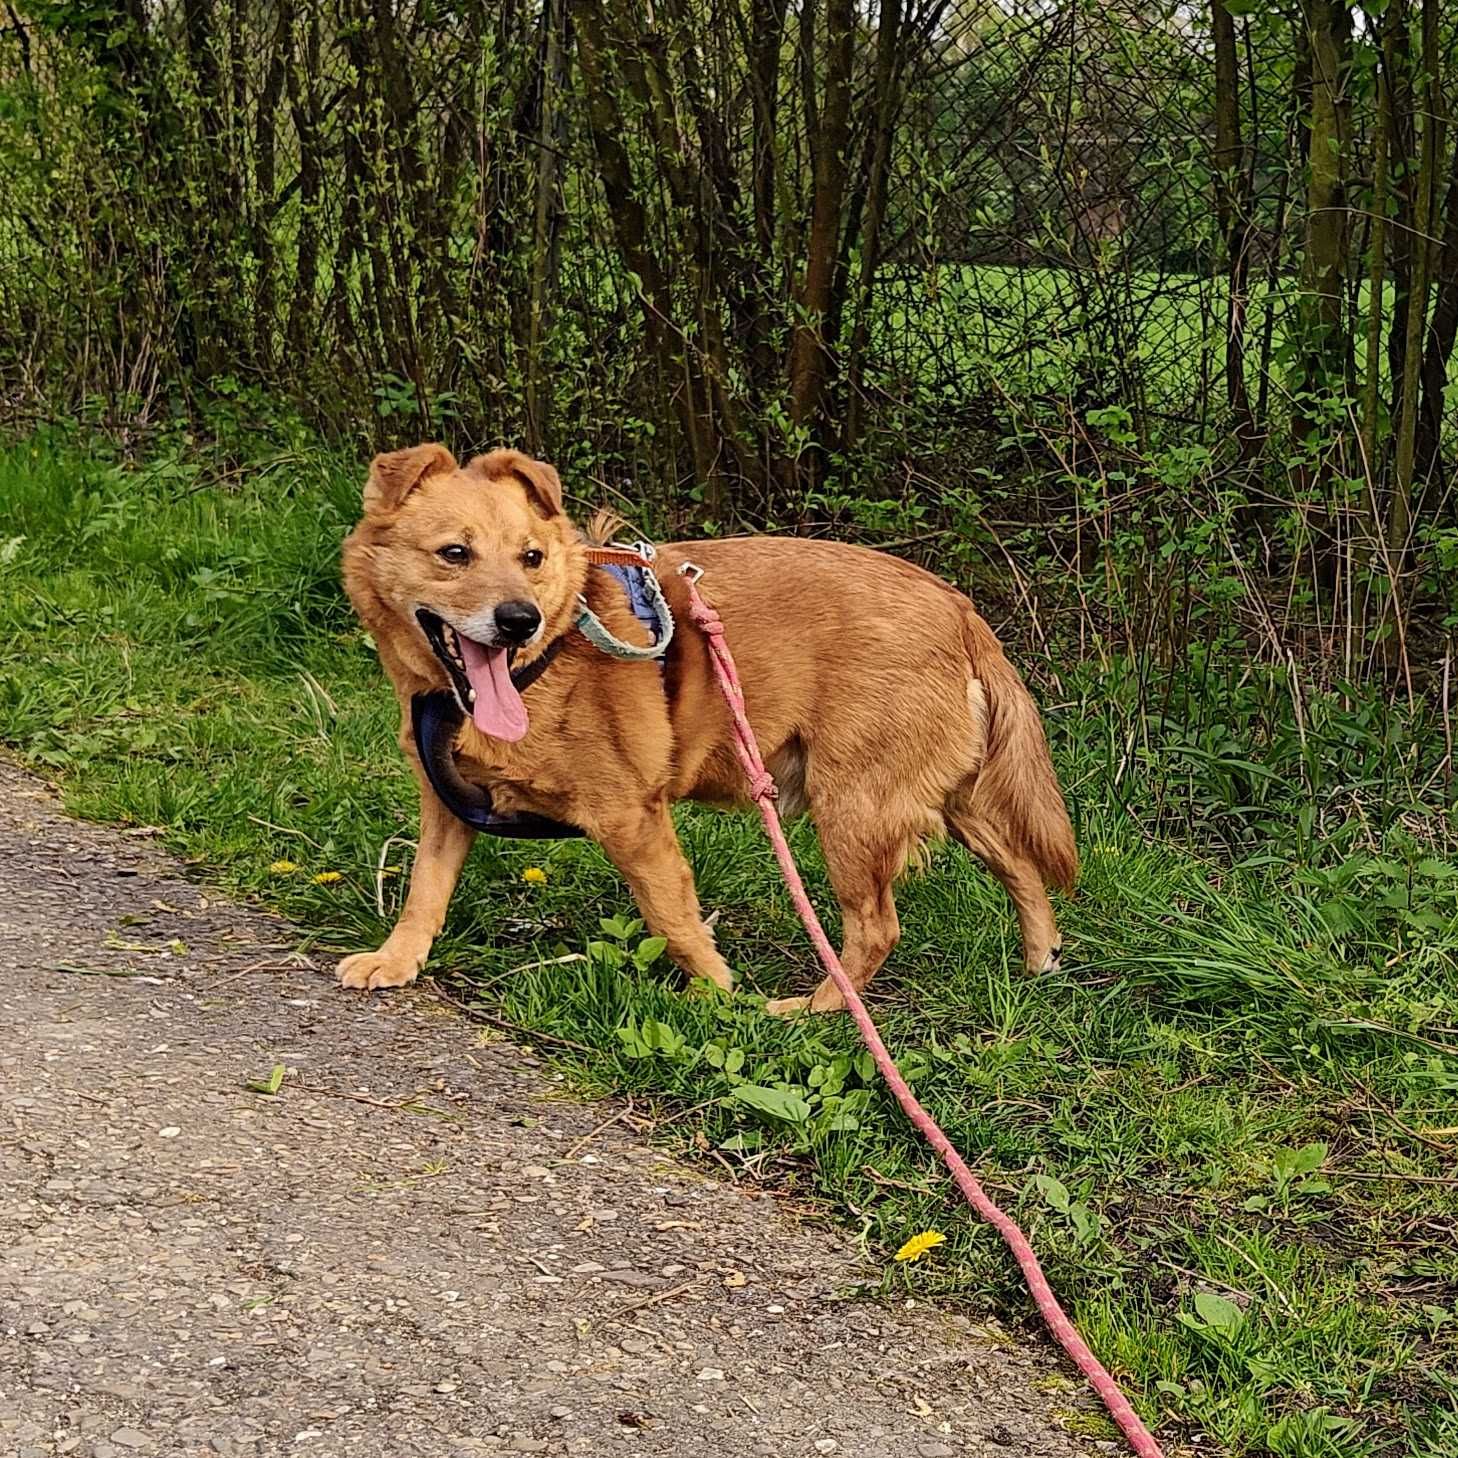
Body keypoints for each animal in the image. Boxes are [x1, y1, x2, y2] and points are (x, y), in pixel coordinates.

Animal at [338, 443, 1073, 1014]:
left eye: (532, 558)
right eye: (454, 553)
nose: (519, 619)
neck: (539, 663)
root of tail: (957, 606)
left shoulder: (633, 821)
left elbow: (675, 920)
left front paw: (720, 1000)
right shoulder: (445, 804)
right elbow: (424, 890)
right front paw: (397, 958)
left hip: (854, 810)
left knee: (876, 929)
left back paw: (814, 1008)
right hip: (949, 797)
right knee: (1020, 866)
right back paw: (1040, 959)